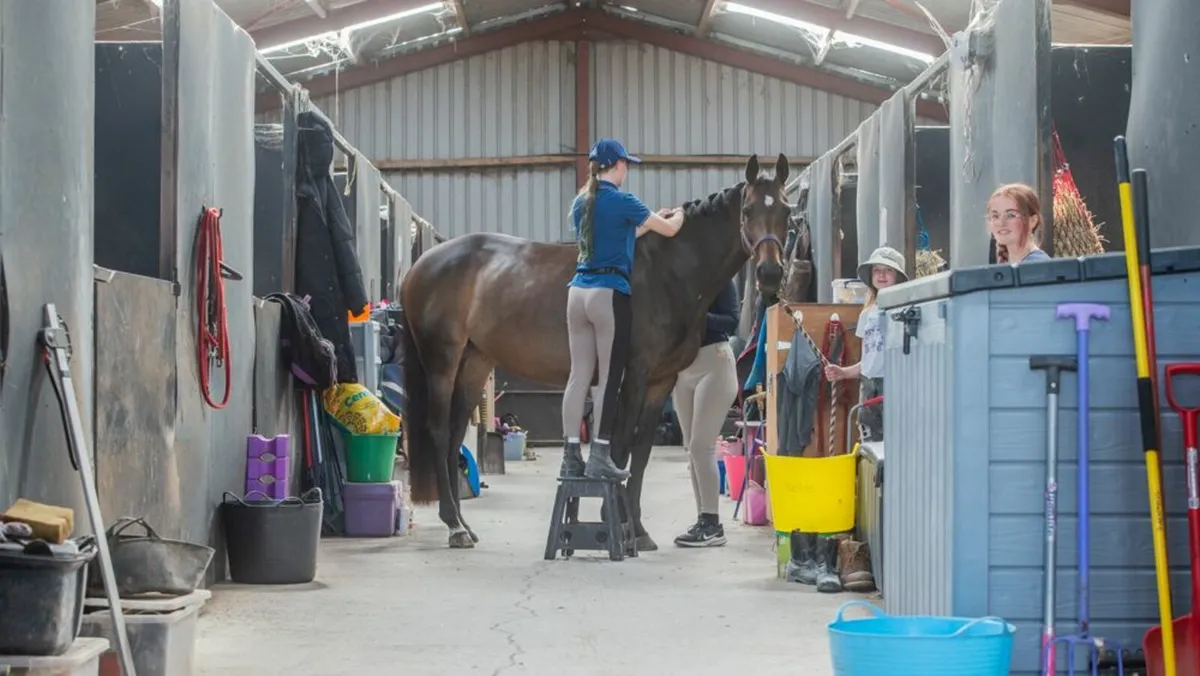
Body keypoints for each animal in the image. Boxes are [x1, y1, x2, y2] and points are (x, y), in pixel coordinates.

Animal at [400, 151, 796, 549]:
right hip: (442, 362)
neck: (668, 270)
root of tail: (422, 264)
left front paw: (638, 530)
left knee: (454, 435)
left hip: (474, 364)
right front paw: (615, 521)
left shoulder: (661, 382)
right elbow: (620, 446)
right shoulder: (632, 375)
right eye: (747, 210)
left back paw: (463, 525)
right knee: (438, 431)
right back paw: (454, 526)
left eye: (787, 210)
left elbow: (640, 452)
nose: (770, 274)